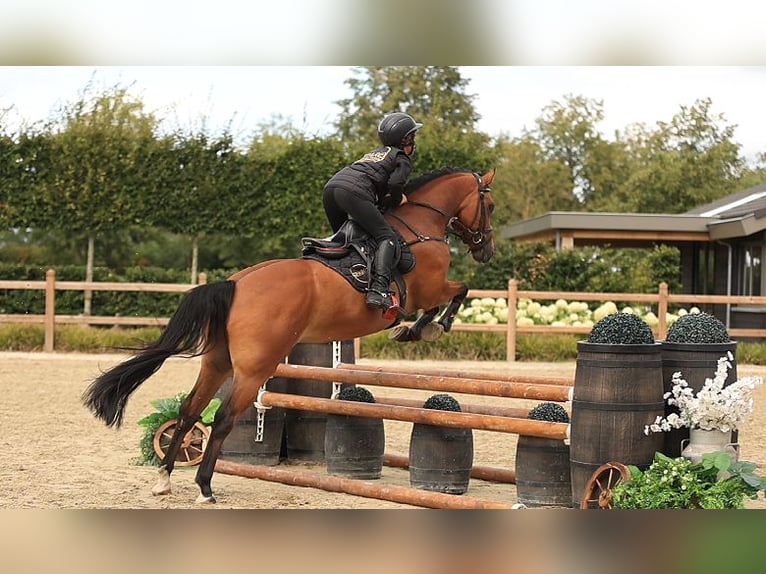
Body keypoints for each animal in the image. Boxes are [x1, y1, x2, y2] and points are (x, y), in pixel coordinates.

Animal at [82, 166, 496, 504]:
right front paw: (426, 329)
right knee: (223, 418)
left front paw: (415, 330)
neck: (418, 225)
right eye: (489, 205)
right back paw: (204, 487)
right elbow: (457, 292)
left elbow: (453, 295)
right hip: (254, 369)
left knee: (189, 411)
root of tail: (236, 283)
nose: (487, 251)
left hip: (218, 363)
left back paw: (164, 479)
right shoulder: (430, 289)